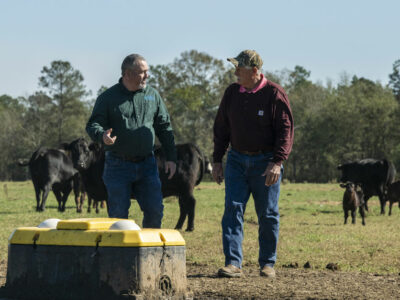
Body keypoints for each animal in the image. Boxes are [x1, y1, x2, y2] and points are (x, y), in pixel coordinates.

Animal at [69, 137, 211, 231]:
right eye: (73, 151)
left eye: (87, 151)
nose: (79, 164)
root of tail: (189, 145)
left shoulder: (109, 193)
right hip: (180, 191)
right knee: (184, 207)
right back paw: (178, 227)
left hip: (187, 188)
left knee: (191, 203)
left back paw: (190, 228)